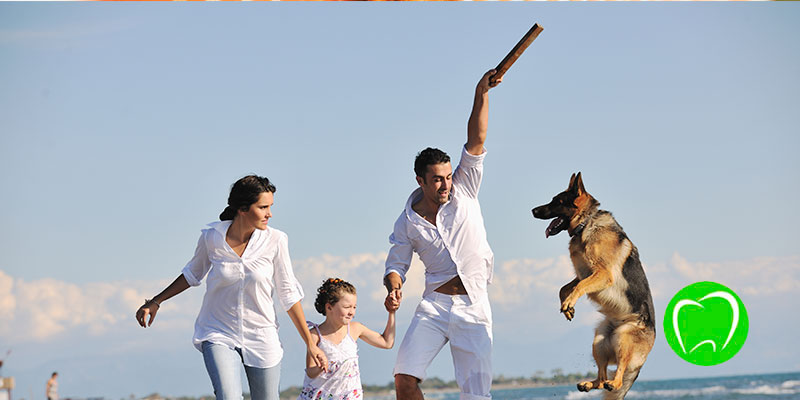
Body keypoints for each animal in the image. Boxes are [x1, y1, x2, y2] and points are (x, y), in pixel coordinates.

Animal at [532, 173, 656, 400]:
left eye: (557, 201)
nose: (533, 211)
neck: (586, 223)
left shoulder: (602, 274)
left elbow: (579, 286)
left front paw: (569, 304)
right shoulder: (585, 273)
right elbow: (565, 288)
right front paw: (568, 307)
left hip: (623, 338)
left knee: (618, 375)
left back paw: (613, 383)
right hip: (599, 341)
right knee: (602, 376)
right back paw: (589, 384)